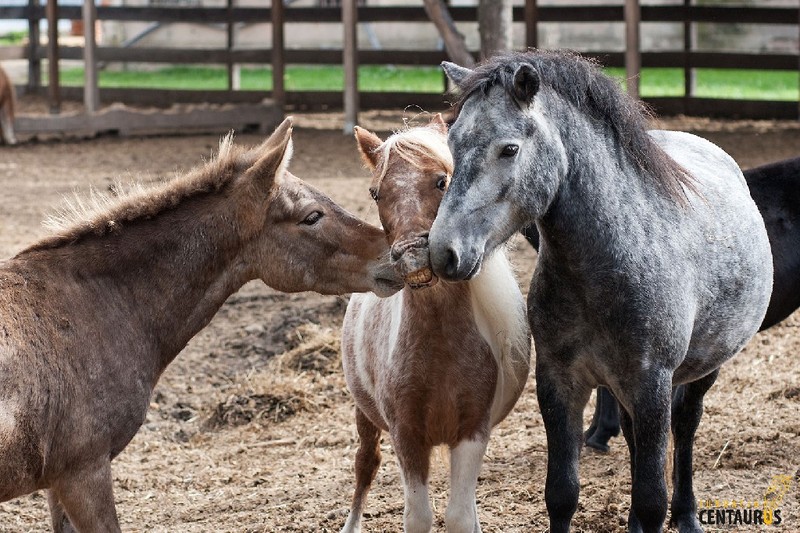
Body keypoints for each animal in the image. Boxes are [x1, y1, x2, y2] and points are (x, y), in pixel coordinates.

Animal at [340, 114, 532, 528]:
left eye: (442, 180)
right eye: (375, 193)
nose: (413, 256)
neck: (440, 344)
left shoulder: (472, 431)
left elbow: (460, 516)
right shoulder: (406, 435)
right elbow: (418, 517)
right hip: (365, 415)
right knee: (365, 464)